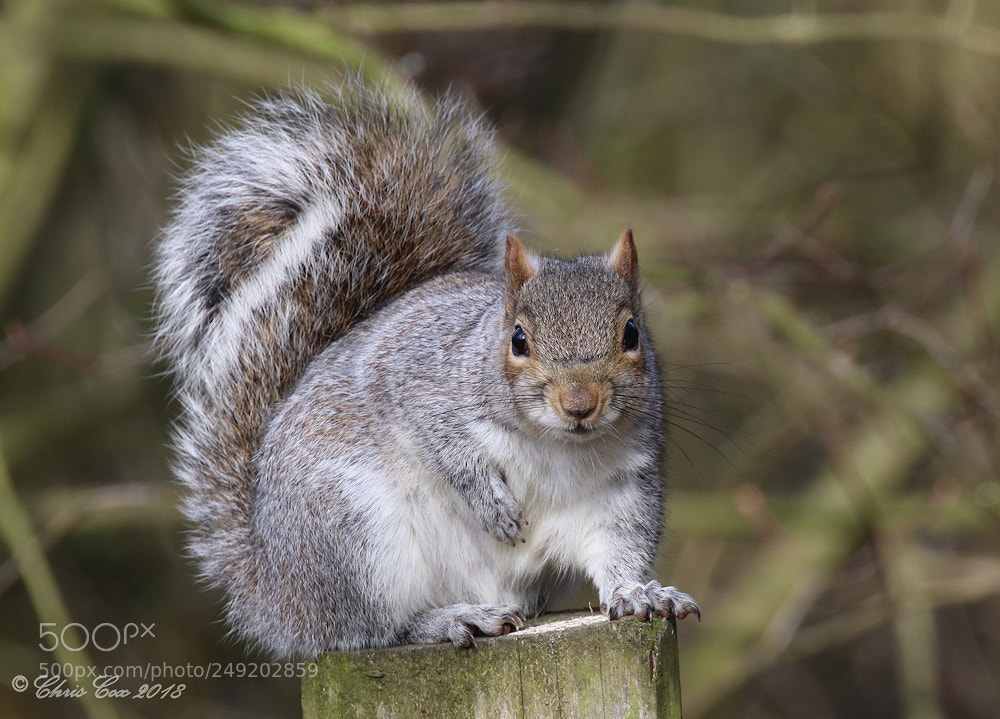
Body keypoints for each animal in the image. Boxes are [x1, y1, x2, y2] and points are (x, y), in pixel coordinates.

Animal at [153, 81, 699, 659]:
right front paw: (490, 503)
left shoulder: (622, 490)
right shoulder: (413, 377)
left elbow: (619, 553)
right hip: (357, 536)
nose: (579, 405)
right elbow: (441, 443)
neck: (558, 448)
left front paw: (642, 594)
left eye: (632, 334)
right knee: (374, 628)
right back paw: (449, 619)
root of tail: (276, 588)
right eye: (518, 340)